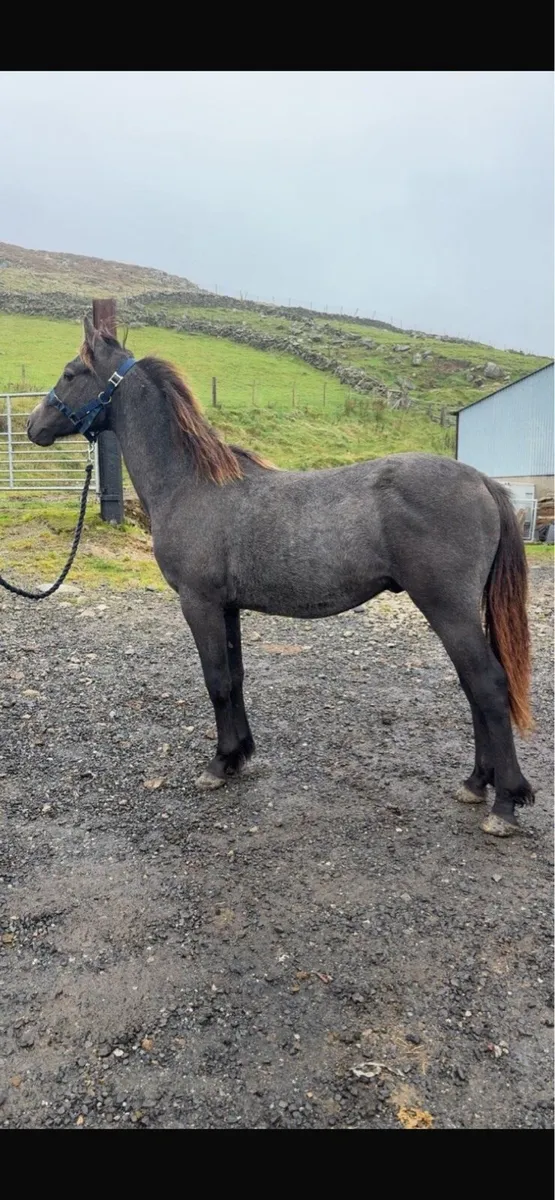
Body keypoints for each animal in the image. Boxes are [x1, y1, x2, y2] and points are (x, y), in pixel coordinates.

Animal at [27, 317, 535, 838]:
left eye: (70, 373)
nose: (32, 425)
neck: (190, 484)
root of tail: (482, 481)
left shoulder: (199, 603)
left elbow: (216, 681)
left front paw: (218, 765)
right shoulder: (227, 607)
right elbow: (235, 677)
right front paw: (237, 757)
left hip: (447, 608)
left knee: (488, 685)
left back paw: (504, 804)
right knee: (473, 687)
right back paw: (476, 783)